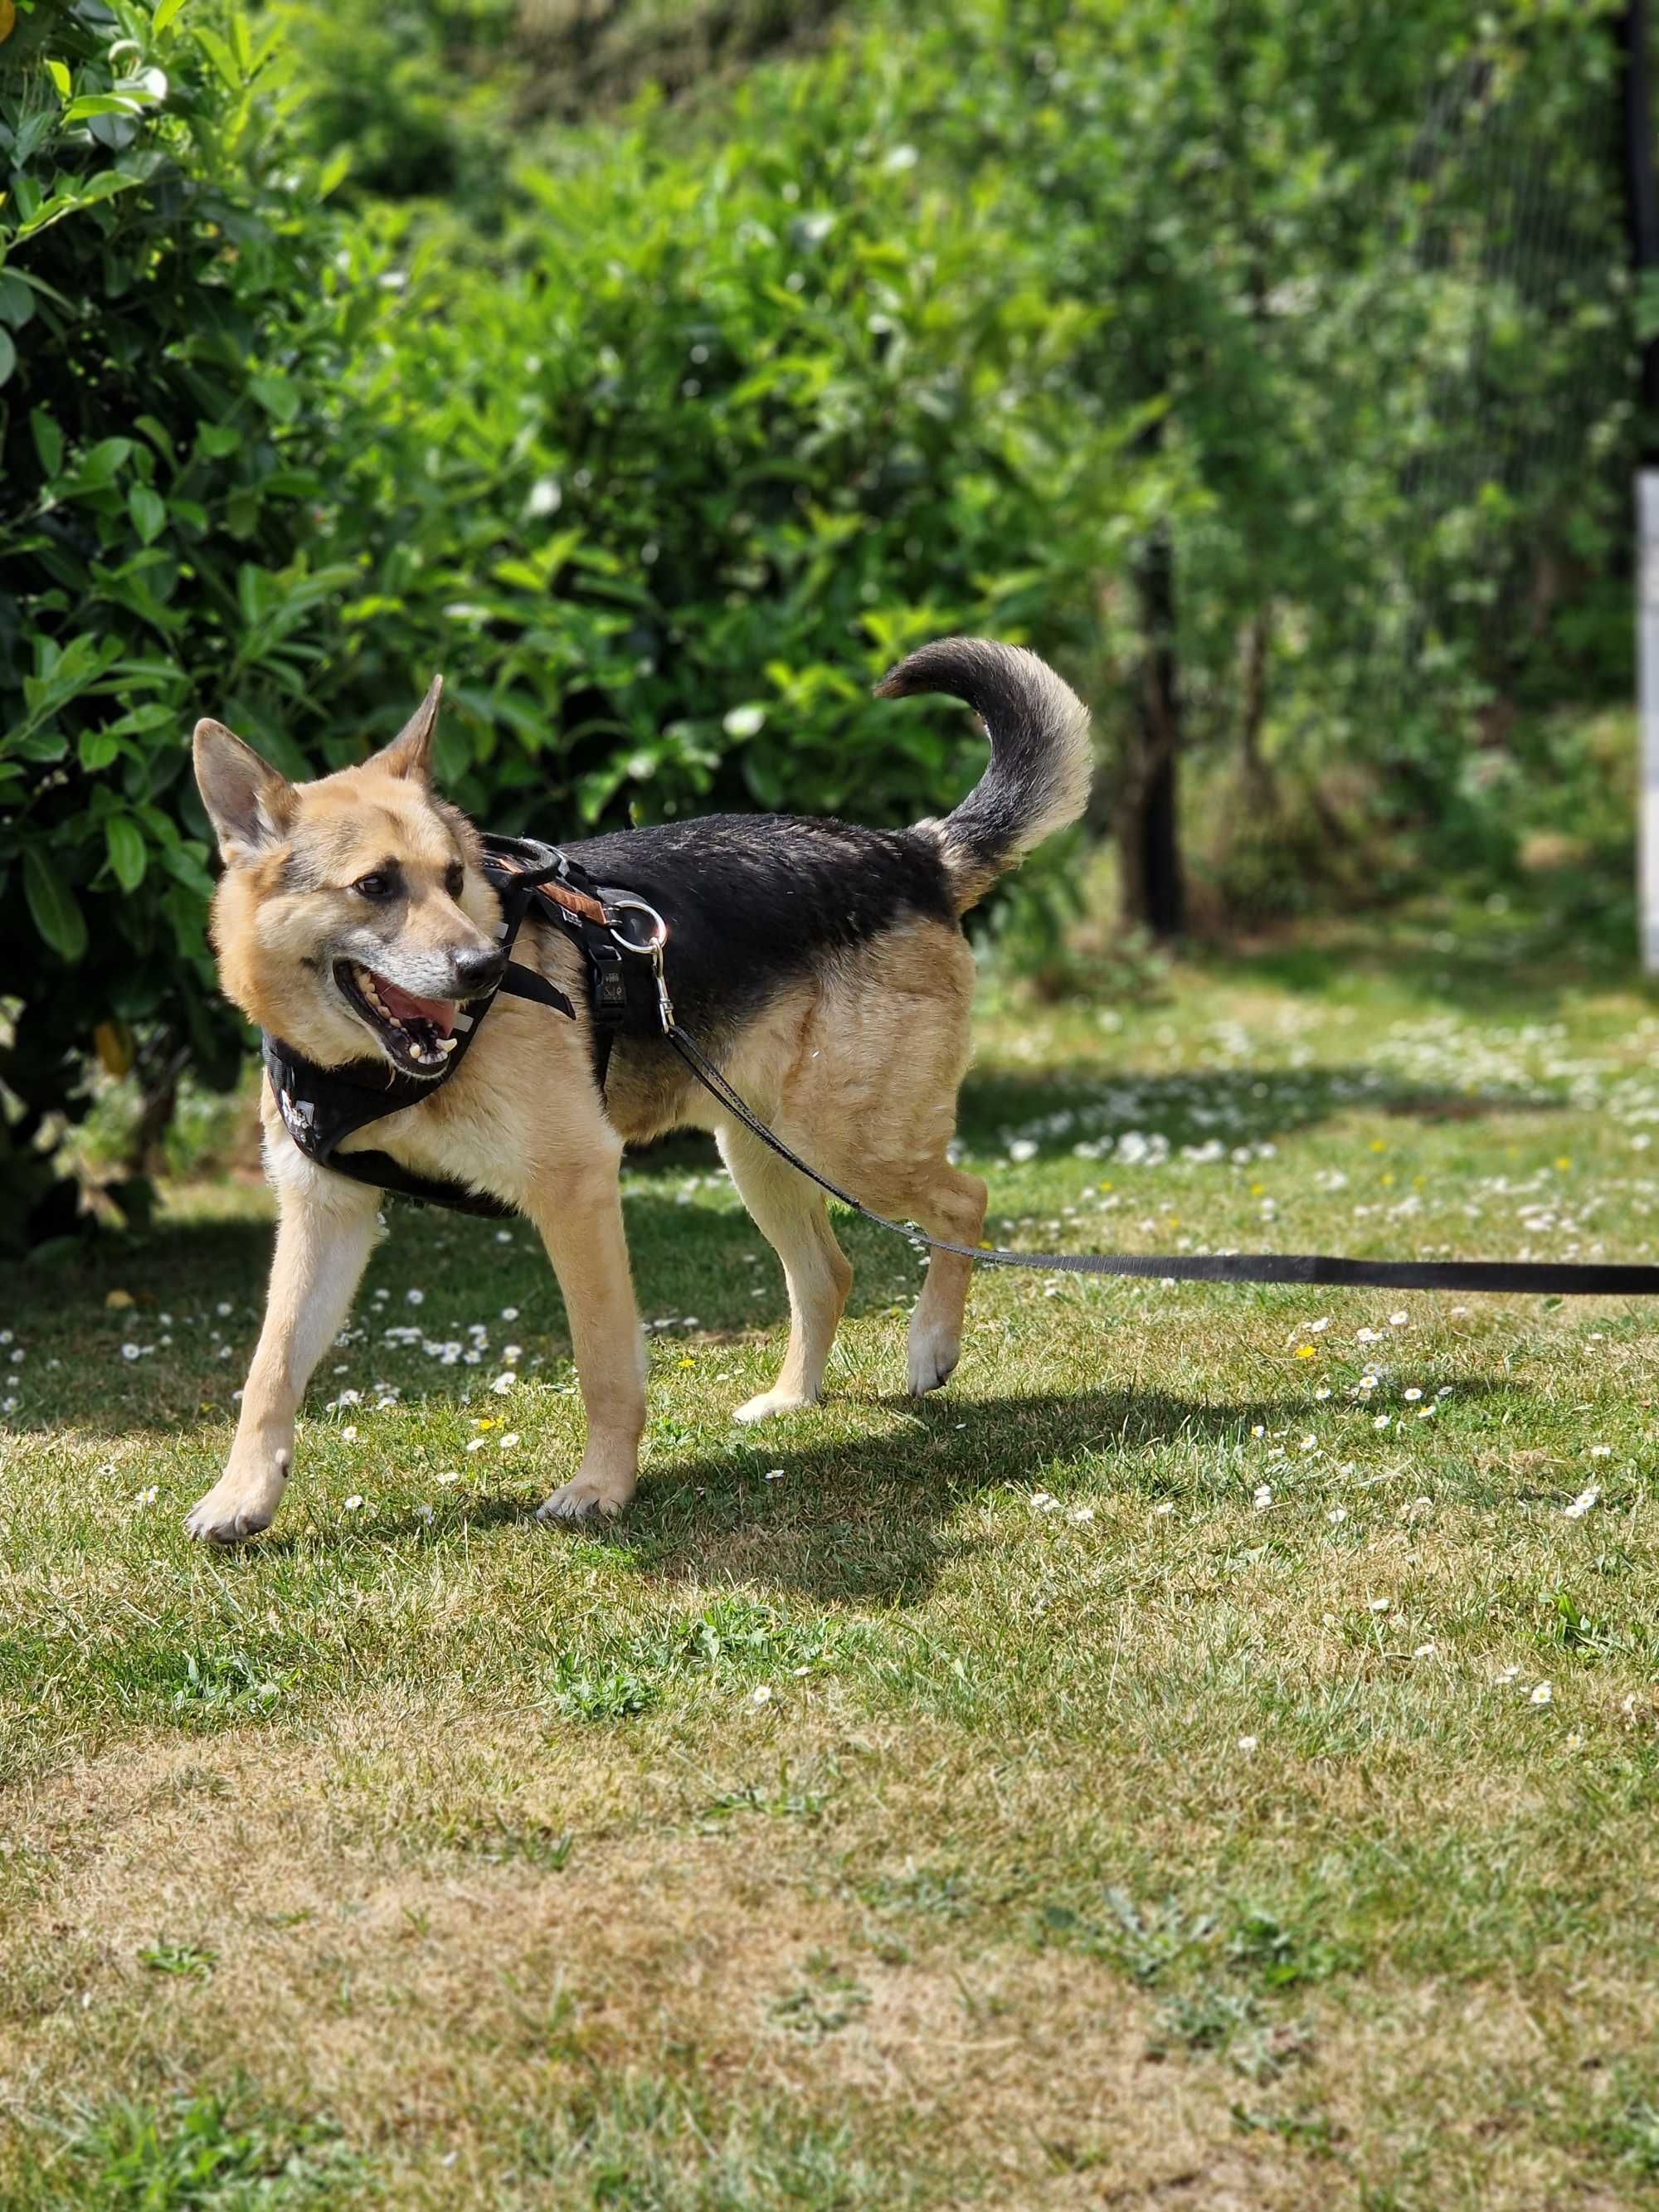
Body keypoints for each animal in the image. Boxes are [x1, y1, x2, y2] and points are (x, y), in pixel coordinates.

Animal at [184, 641, 1092, 1539]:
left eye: (453, 877)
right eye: (375, 885)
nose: (482, 968)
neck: (371, 1074)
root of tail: (910, 852)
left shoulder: (575, 1189)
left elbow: (603, 1362)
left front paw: (601, 1487)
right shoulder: (324, 1213)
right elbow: (270, 1367)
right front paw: (241, 1495)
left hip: (847, 1141)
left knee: (965, 1200)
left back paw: (930, 1343)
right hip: (758, 1151)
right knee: (828, 1272)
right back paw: (792, 1397)